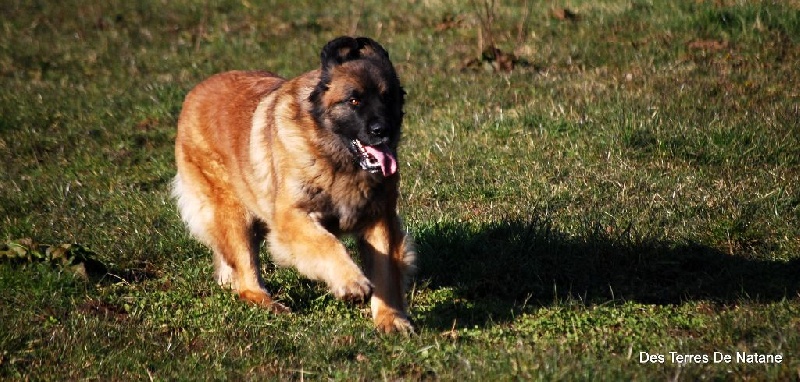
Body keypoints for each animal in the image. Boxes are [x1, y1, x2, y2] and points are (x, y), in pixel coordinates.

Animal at [172, 36, 416, 334]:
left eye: (387, 97)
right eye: (354, 100)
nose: (383, 131)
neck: (334, 158)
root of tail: (195, 93)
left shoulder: (379, 218)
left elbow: (385, 271)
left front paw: (390, 318)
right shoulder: (292, 217)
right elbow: (327, 243)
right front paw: (351, 282)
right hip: (233, 214)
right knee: (246, 280)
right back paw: (269, 304)